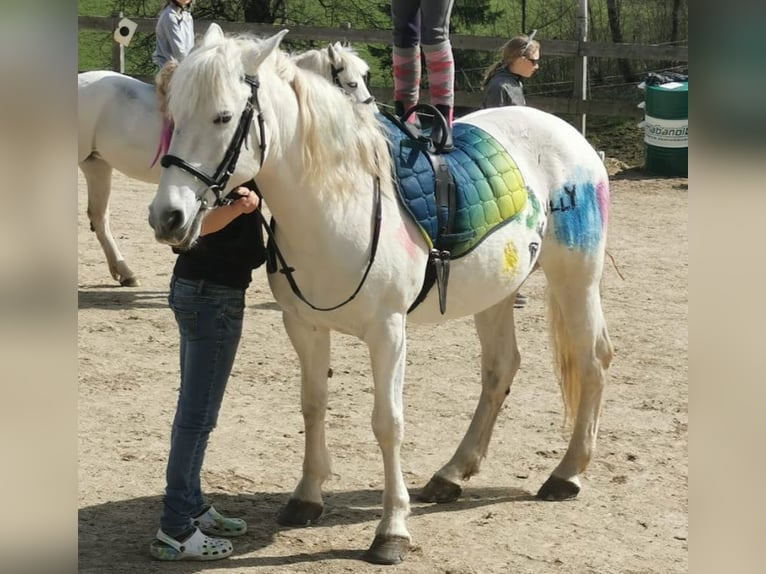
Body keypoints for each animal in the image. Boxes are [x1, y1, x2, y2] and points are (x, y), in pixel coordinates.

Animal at [148, 24, 616, 564]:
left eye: (223, 116)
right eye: (173, 115)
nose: (168, 217)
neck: (336, 205)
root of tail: (568, 134)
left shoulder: (388, 332)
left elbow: (387, 423)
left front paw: (392, 530)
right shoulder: (304, 326)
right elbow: (313, 404)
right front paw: (307, 497)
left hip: (575, 278)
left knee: (593, 360)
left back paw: (567, 473)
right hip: (495, 292)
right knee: (501, 369)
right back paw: (452, 473)